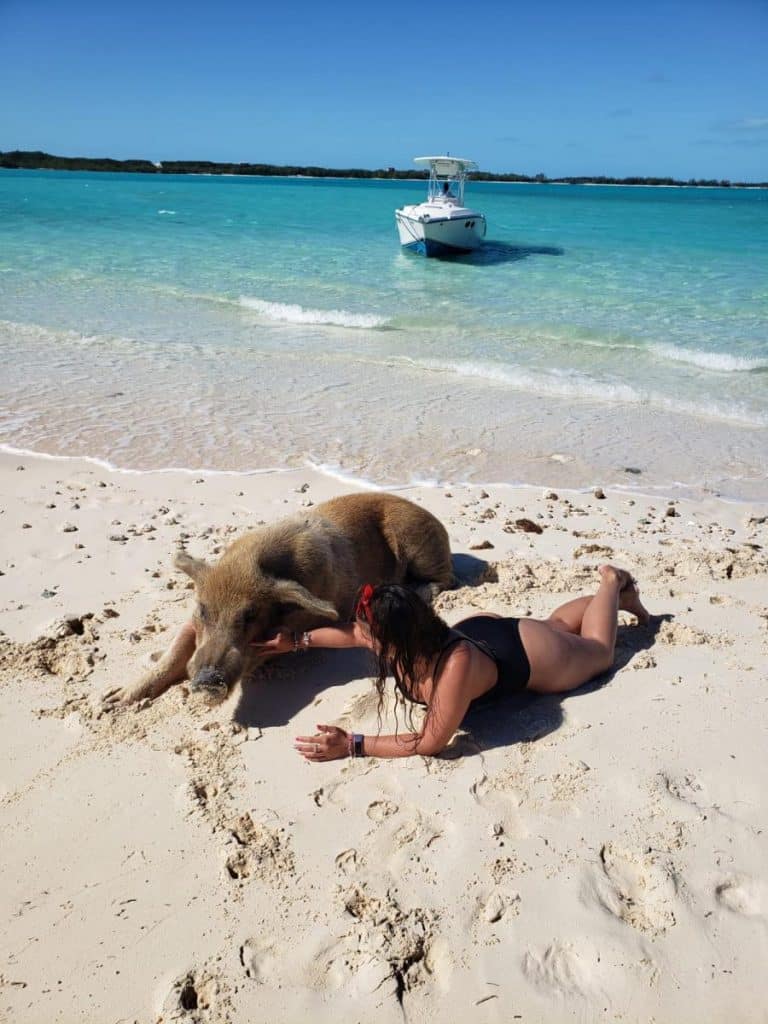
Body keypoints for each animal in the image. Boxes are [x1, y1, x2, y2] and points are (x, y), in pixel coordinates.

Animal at [102, 492, 453, 706]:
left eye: (250, 616)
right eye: (203, 610)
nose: (206, 683)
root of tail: (439, 523)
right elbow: (174, 652)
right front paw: (111, 700)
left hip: (417, 542)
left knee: (445, 579)